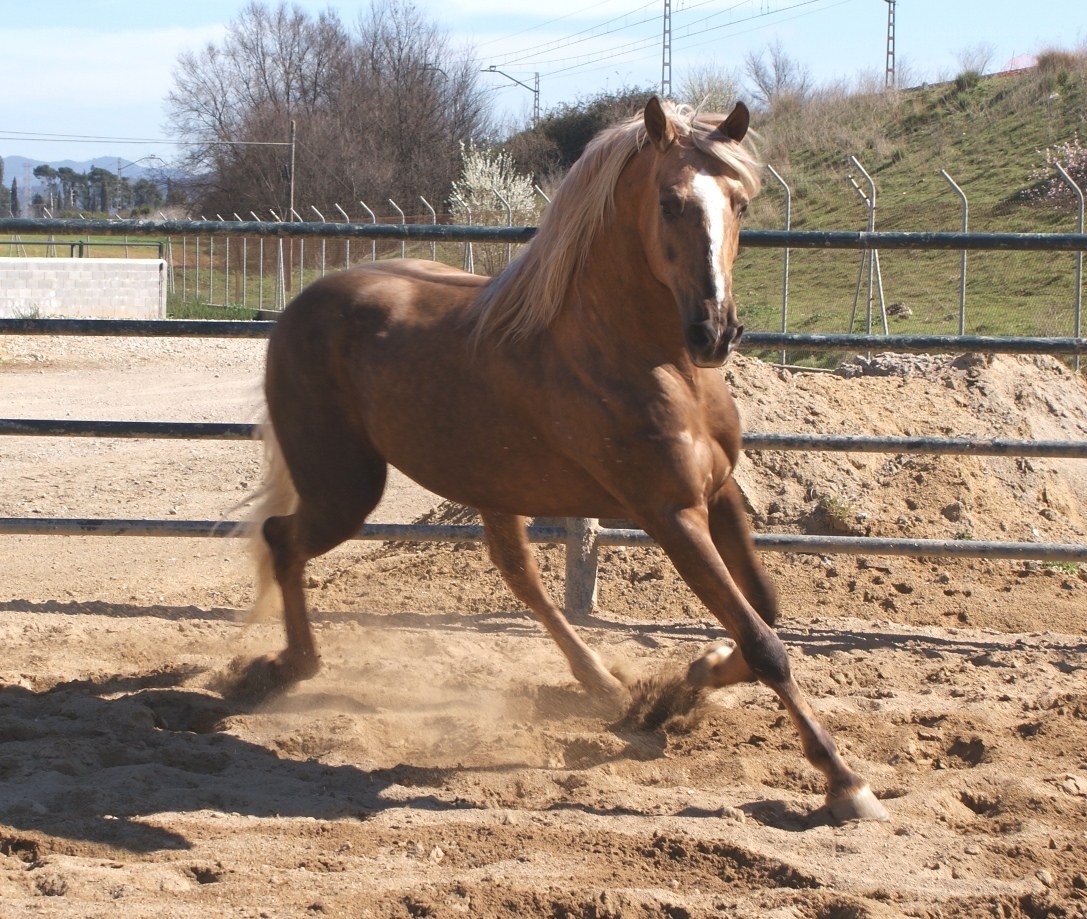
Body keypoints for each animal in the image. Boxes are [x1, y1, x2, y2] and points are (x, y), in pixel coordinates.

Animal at [244, 97, 888, 823]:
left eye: (740, 202)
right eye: (669, 202)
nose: (715, 332)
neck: (643, 357)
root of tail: (297, 307)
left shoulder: (720, 494)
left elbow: (765, 614)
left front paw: (688, 680)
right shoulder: (671, 515)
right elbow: (765, 645)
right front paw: (845, 782)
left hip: (483, 484)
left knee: (518, 575)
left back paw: (606, 687)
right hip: (345, 490)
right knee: (282, 538)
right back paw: (287, 667)